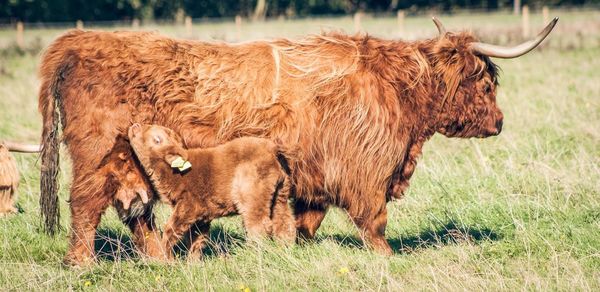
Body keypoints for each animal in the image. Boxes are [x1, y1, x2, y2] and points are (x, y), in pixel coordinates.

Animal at [128, 123, 296, 260]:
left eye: (157, 139)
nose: (135, 126)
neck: (176, 173)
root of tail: (272, 149)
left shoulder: (188, 206)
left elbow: (171, 229)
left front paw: (164, 257)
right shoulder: (202, 216)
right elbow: (197, 239)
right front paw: (192, 263)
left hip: (253, 195)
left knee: (258, 225)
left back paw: (254, 255)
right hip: (280, 193)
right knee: (284, 221)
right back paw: (285, 248)